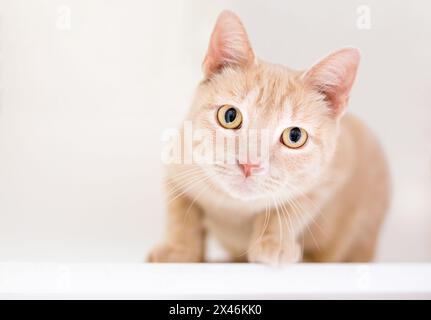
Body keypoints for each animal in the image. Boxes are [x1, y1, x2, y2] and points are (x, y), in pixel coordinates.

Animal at [149, 10, 392, 264]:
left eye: (294, 136)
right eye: (229, 115)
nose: (249, 164)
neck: (235, 208)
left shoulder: (328, 178)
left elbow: (291, 210)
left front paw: (273, 242)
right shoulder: (176, 164)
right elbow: (180, 214)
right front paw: (178, 249)